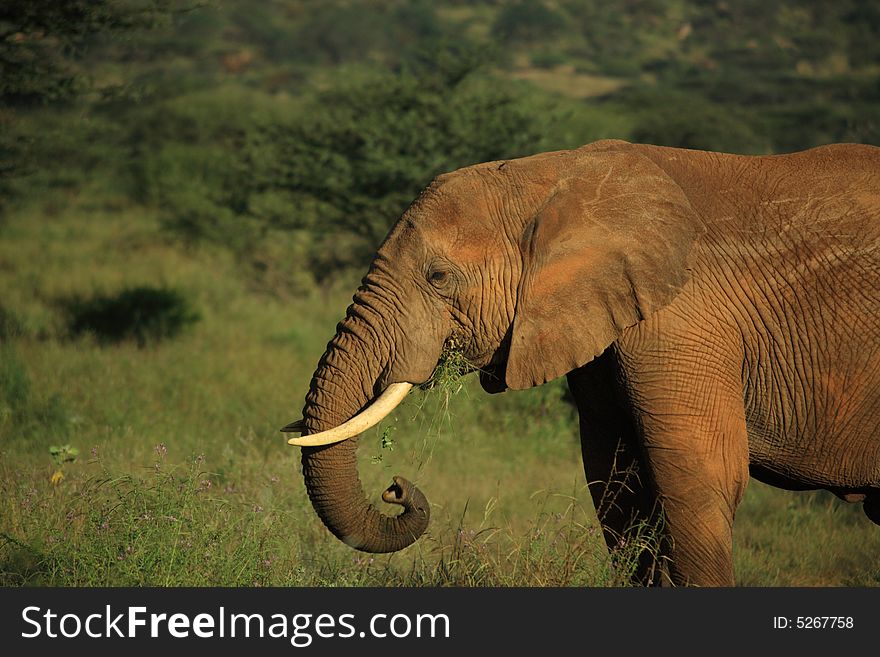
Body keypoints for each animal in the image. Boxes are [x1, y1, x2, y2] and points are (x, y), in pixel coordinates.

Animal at [286, 138, 876, 584]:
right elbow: (617, 482)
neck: (557, 175)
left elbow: (697, 479)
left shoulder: (684, 318)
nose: (395, 487)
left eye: (438, 277)